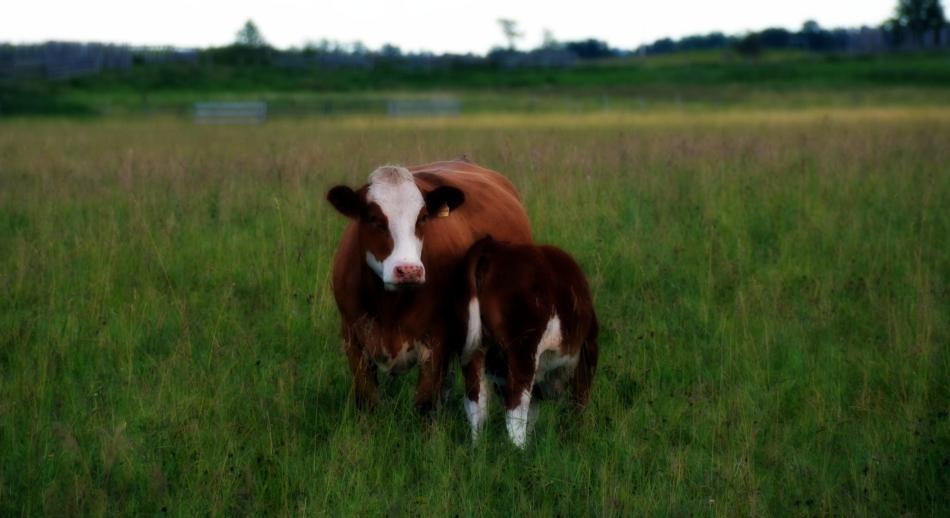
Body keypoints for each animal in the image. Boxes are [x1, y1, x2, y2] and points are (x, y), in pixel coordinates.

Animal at [326, 160, 532, 413]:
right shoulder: (353, 339)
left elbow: (425, 404)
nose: (409, 271)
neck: (389, 306)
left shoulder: (435, 341)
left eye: (422, 218)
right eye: (373, 219)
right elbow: (368, 401)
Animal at [459, 237, 598, 448]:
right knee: (515, 408)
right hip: (523, 350)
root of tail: (494, 247)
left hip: (475, 351)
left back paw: (478, 448)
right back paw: (520, 451)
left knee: (476, 405)